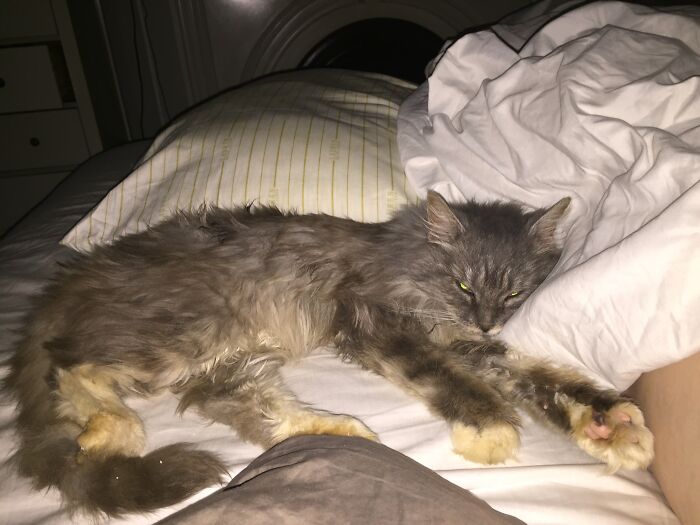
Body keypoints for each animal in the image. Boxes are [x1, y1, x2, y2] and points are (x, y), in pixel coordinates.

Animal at [5, 191, 652, 516]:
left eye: (515, 292)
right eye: (464, 284)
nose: (488, 318)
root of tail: (72, 277)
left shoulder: (467, 341)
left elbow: (534, 376)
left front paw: (608, 424)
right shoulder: (370, 321)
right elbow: (446, 376)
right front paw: (489, 426)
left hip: (227, 355)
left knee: (251, 411)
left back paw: (341, 431)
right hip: (187, 331)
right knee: (70, 364)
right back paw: (110, 427)